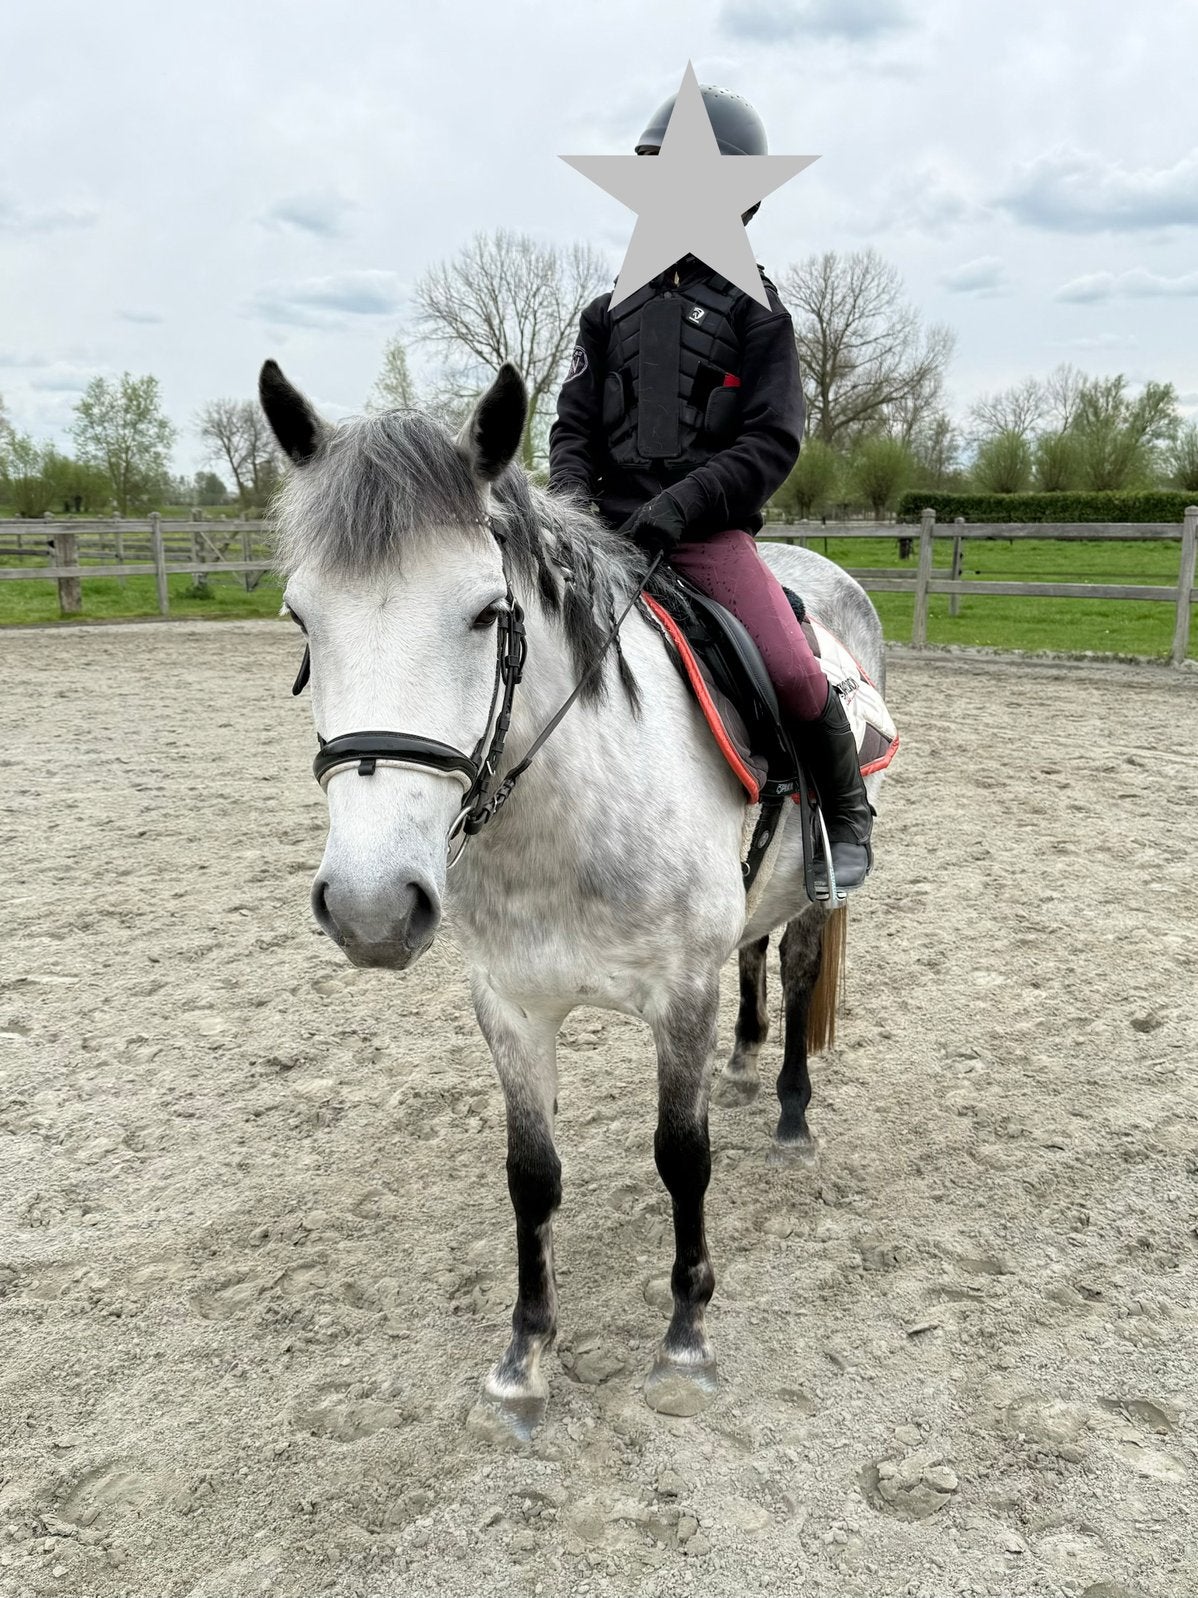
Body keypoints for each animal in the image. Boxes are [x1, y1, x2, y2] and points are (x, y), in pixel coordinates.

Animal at [260, 358, 889, 1434]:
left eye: (486, 611)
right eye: (305, 618)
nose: (371, 907)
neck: (564, 816)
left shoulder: (678, 995)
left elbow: (682, 1156)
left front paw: (684, 1339)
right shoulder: (510, 1004)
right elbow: (532, 1175)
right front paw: (525, 1356)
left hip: (817, 891)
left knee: (802, 964)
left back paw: (792, 1116)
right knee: (757, 949)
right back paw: (745, 1059)